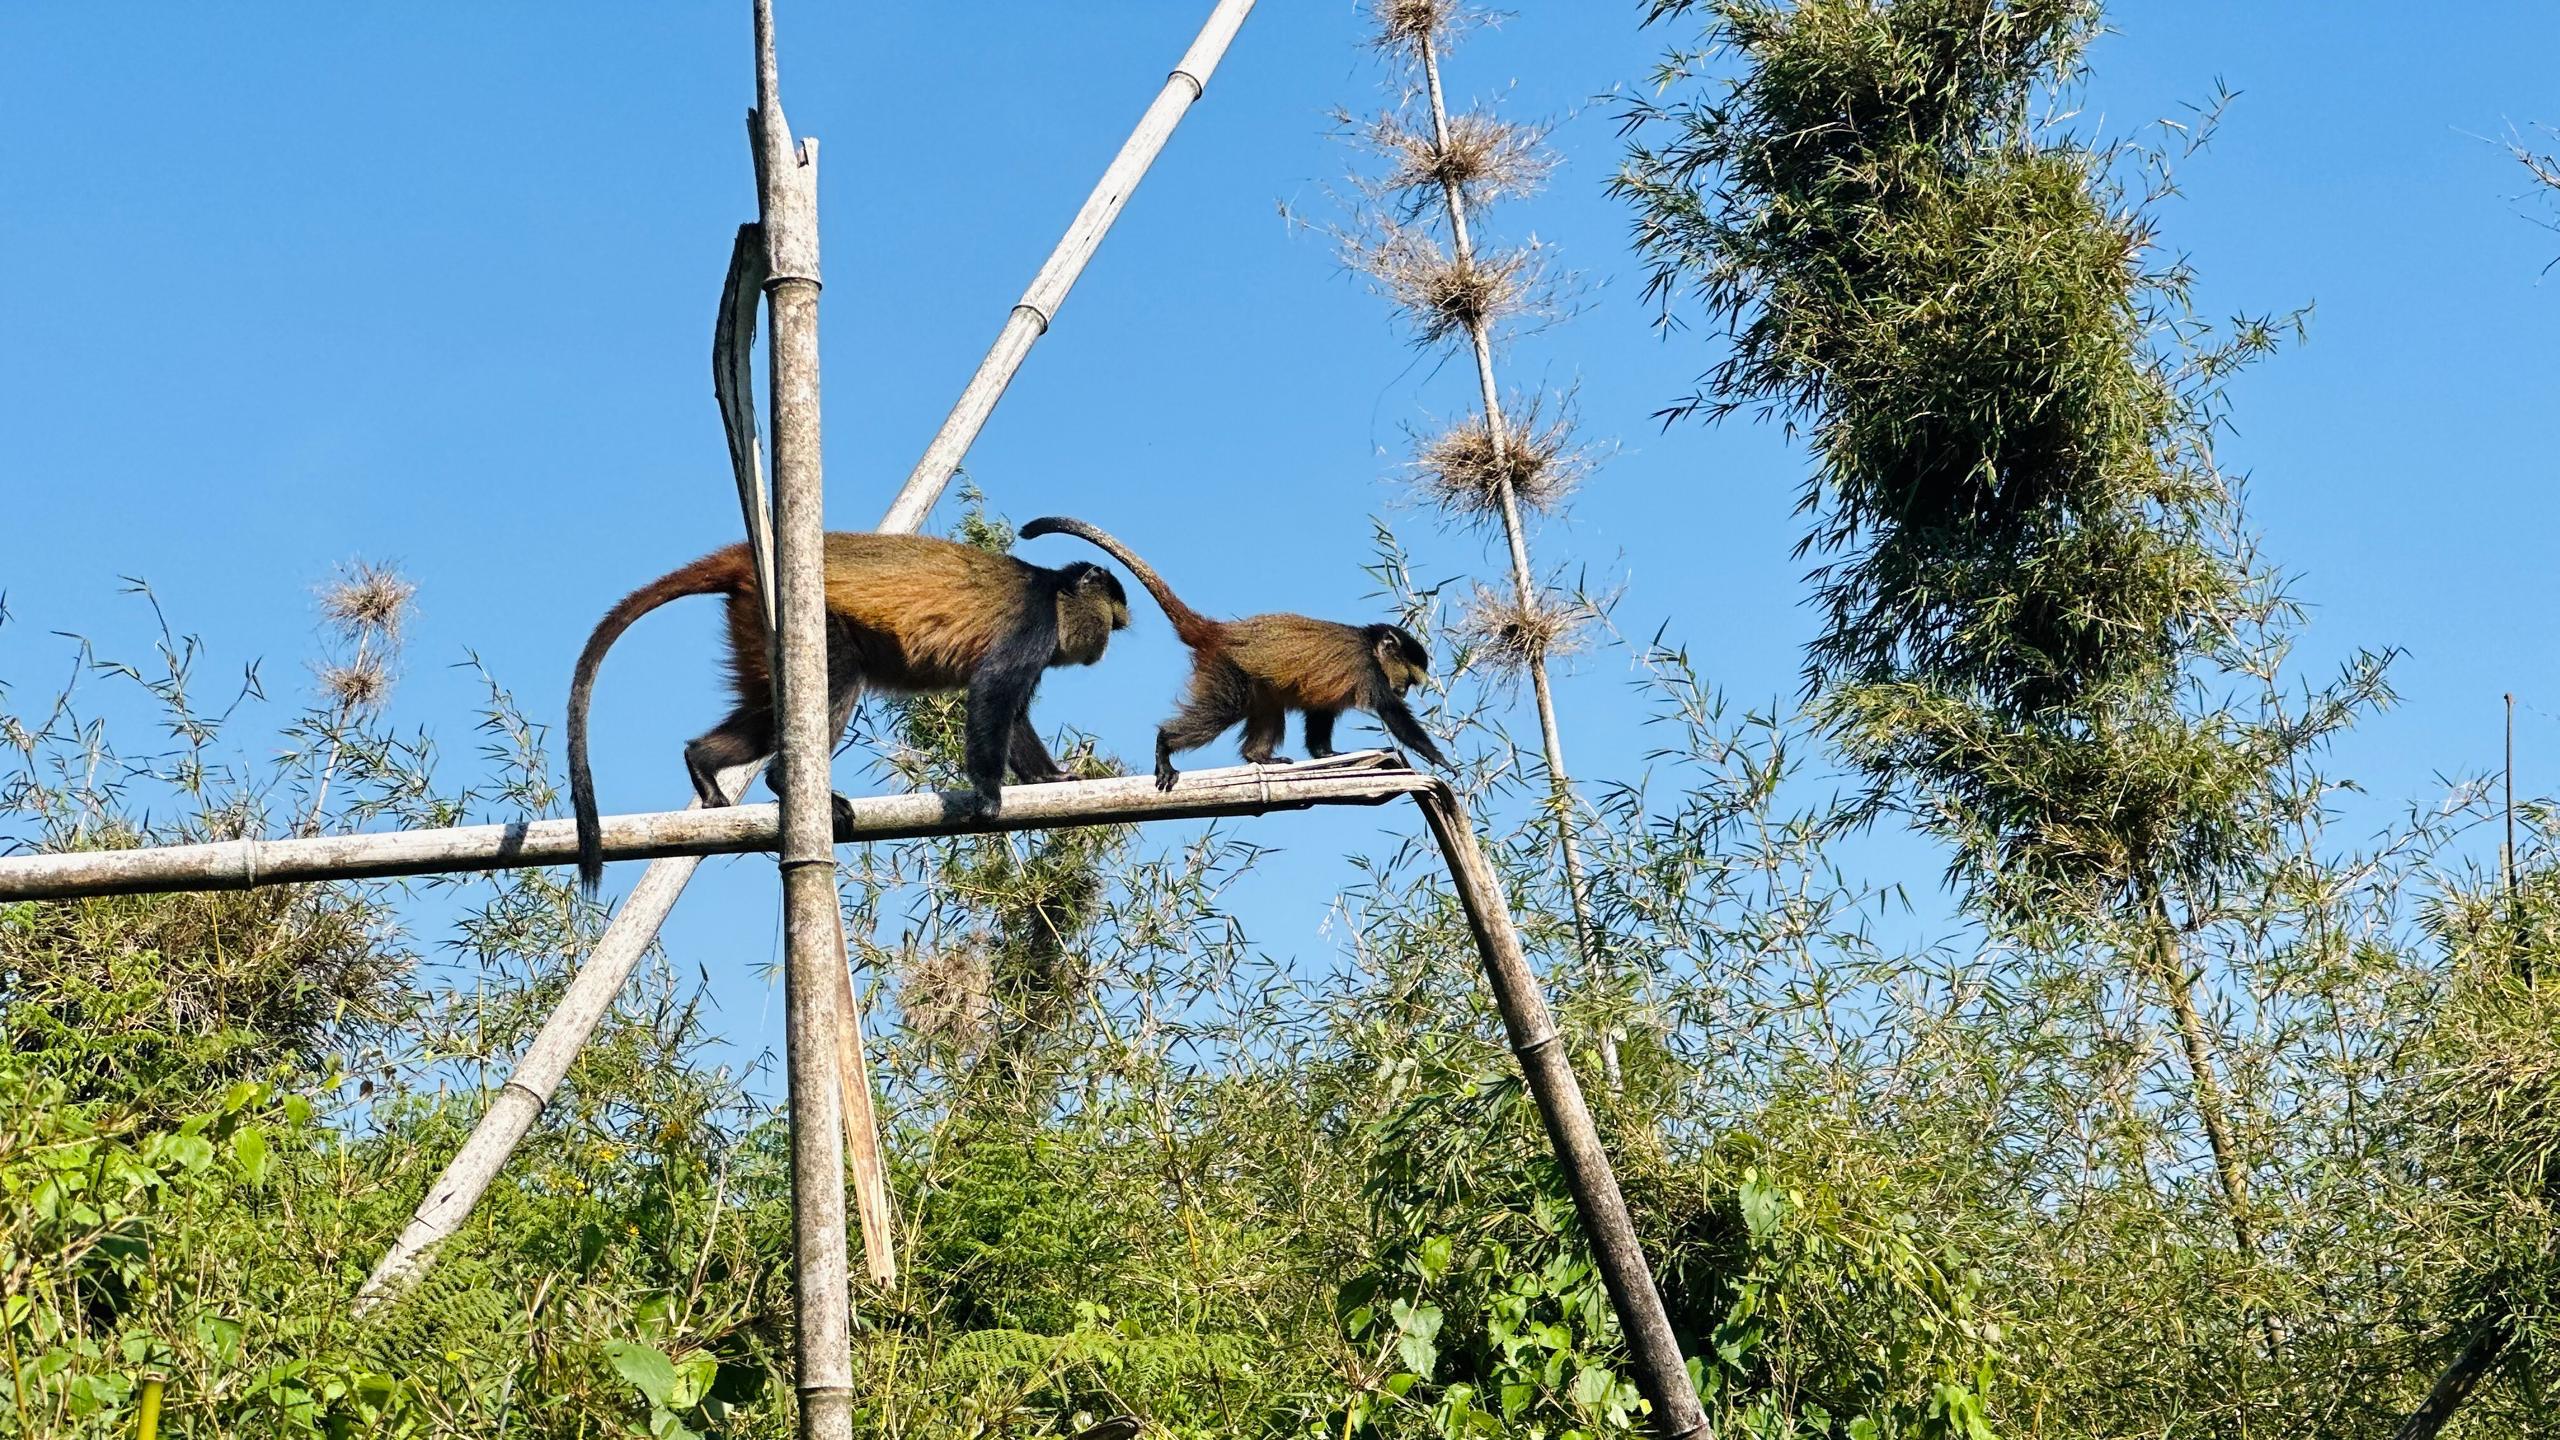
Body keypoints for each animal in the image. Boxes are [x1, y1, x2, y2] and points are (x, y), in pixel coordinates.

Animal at [566, 532, 1130, 890]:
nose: (1105, 648)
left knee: (765, 717)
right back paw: (780, 779)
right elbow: (993, 694)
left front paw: (1052, 778)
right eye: (1112, 622)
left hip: (750, 620)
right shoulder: (1034, 624)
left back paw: (703, 762)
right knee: (836, 684)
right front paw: (990, 794)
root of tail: (747, 558)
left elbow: (1013, 716)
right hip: (797, 620)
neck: (1052, 590)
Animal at [1016, 516, 1448, 790]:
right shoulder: (1368, 671)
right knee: (1222, 710)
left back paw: (1259, 757)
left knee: (1268, 708)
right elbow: (1392, 714)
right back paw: (1165, 745)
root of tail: (1221, 632)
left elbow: (1319, 716)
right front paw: (1440, 760)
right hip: (1227, 669)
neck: (1371, 646)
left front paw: (1327, 753)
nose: (1406, 689)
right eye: (1409, 680)